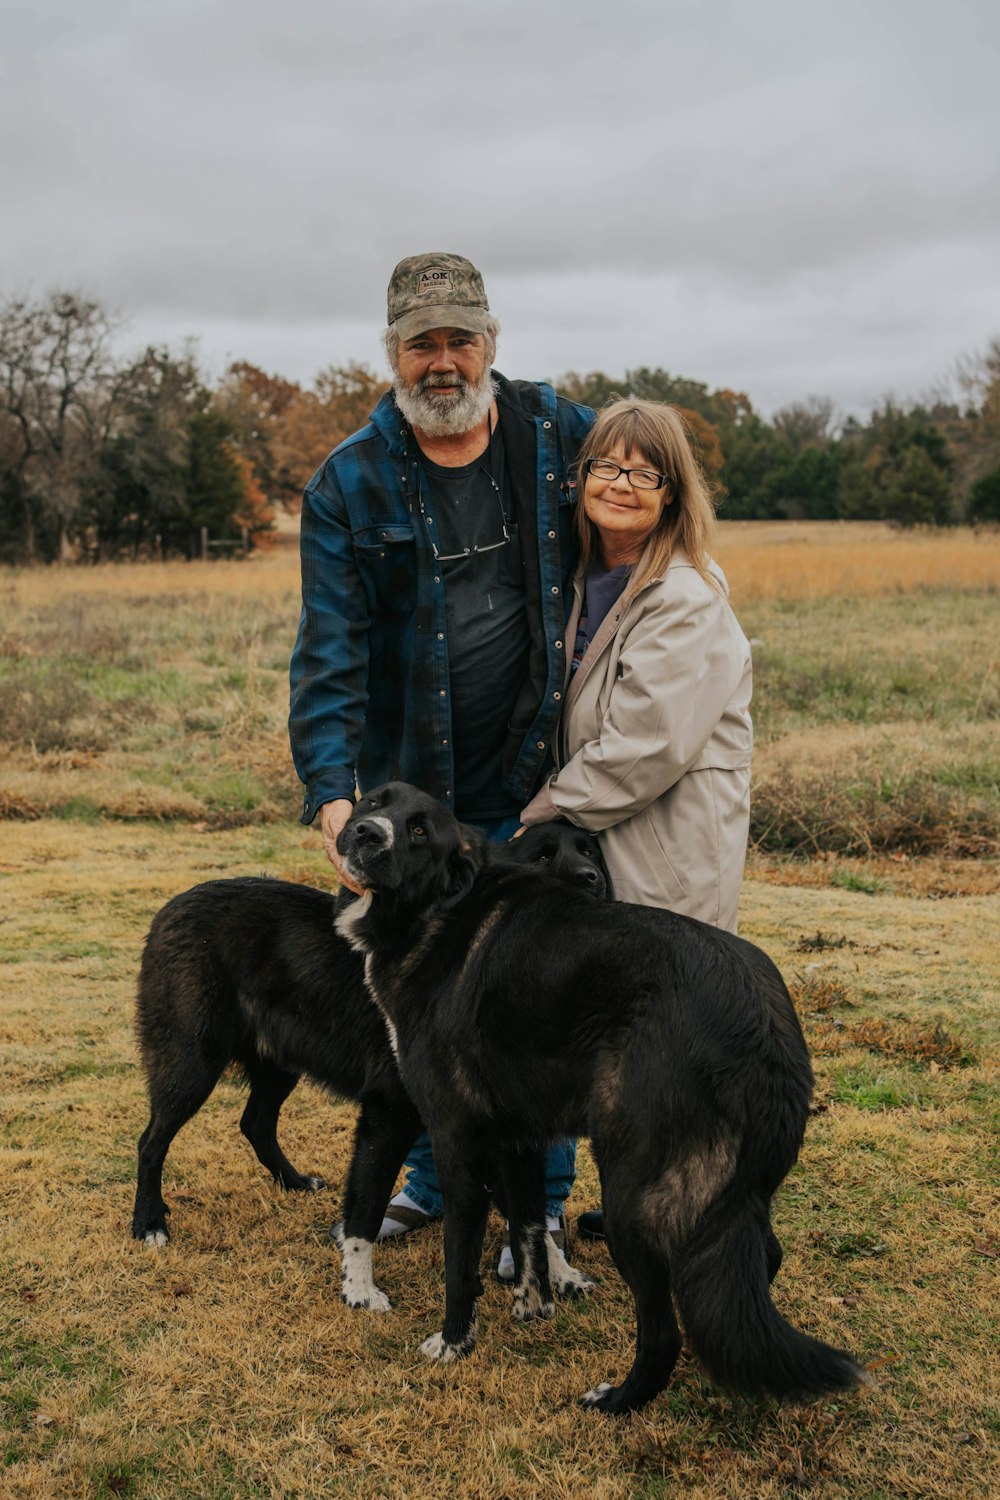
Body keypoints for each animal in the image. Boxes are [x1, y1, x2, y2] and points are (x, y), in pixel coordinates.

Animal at [128, 822, 605, 1314]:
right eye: (542, 857)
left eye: (590, 851)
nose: (593, 881)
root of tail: (172, 906)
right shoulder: (388, 1114)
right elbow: (366, 1209)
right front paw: (358, 1289)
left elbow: (526, 1213)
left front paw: (562, 1274)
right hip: (191, 1063)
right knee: (151, 1142)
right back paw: (149, 1222)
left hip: (278, 1064)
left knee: (255, 1124)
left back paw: (294, 1182)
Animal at [335, 786, 869, 1416]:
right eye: (374, 801)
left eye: (420, 832)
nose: (365, 832)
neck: (440, 910)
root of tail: (762, 1024)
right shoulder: (518, 1140)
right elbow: (529, 1228)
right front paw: (534, 1305)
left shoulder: (456, 1139)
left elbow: (459, 1259)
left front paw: (453, 1343)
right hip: (725, 1200)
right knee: (761, 1264)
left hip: (631, 1200)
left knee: (663, 1331)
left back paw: (617, 1400)